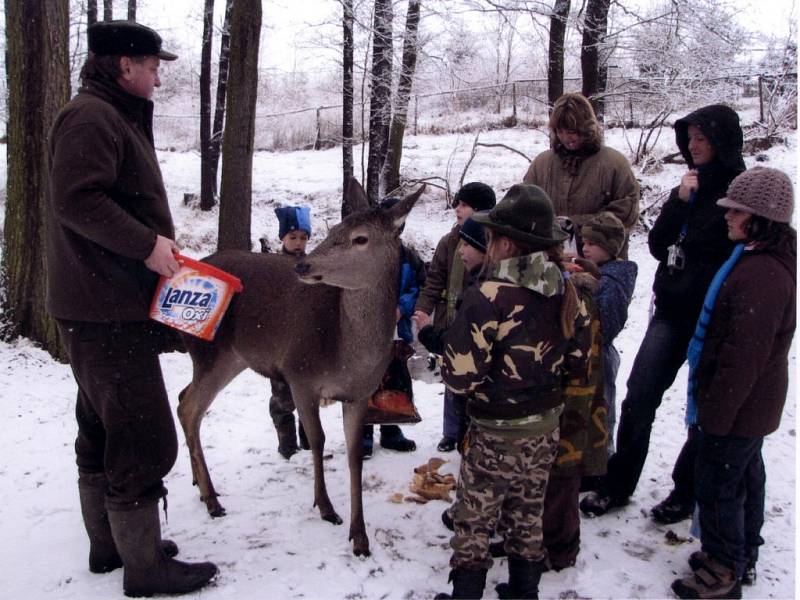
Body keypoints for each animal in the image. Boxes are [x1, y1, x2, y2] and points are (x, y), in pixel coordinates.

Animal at [175, 179, 424, 556]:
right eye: (334, 229)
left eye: (360, 238)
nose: (303, 266)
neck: (346, 353)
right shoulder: (300, 374)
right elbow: (318, 440)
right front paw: (326, 508)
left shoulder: (359, 394)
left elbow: (354, 454)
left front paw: (360, 537)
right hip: (210, 351)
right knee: (190, 408)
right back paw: (212, 500)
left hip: (230, 358)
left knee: (182, 397)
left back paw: (200, 487)